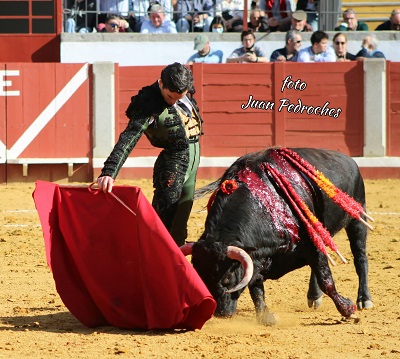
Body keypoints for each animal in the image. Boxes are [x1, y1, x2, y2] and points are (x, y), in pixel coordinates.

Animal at [180, 148, 374, 322]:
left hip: (357, 218)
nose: (220, 313)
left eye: (227, 277)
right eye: (198, 274)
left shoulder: (311, 243)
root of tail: (350, 160)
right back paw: (314, 297)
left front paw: (348, 310)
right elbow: (256, 287)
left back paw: (364, 300)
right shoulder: (257, 257)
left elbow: (326, 280)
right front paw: (265, 316)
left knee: (360, 257)